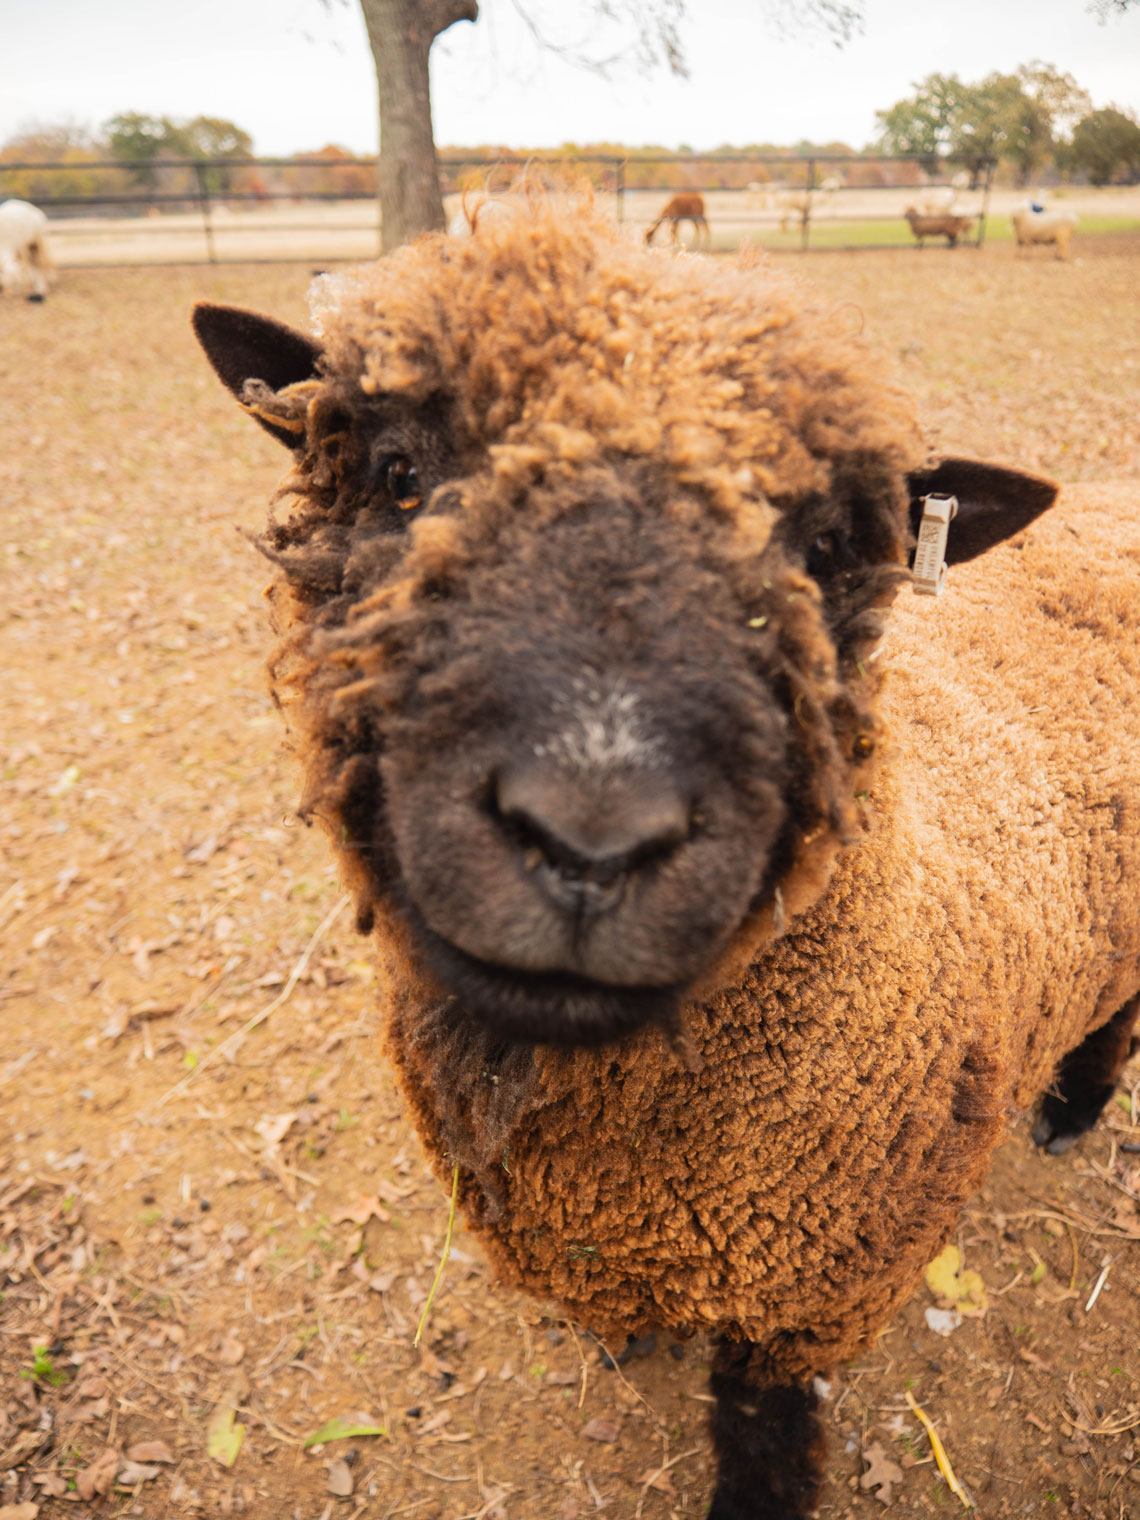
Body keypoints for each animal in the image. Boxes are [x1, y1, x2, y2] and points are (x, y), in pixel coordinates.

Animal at [192, 199, 1140, 1519]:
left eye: (827, 546)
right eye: (398, 473)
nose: (589, 839)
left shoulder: (810, 1295)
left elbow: (762, 1428)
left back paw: (1073, 1106)